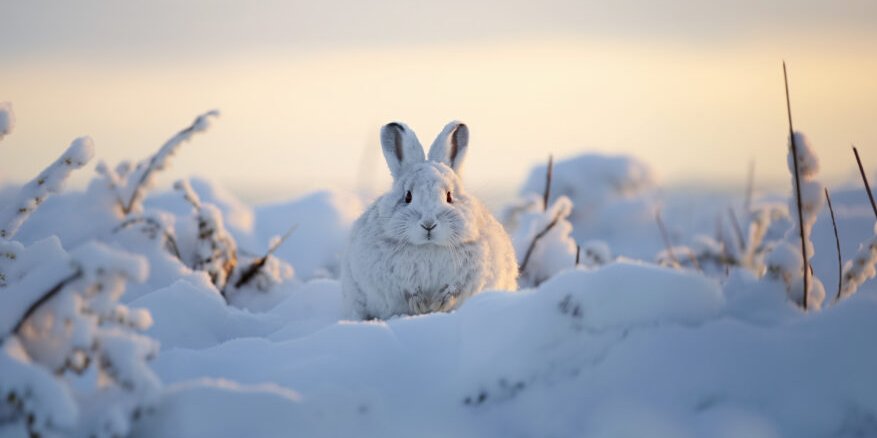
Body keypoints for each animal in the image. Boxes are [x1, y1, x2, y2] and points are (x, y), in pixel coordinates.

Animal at [341, 121, 518, 319]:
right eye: (408, 197)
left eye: (449, 196)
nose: (428, 224)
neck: (429, 246)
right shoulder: (393, 279)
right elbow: (408, 291)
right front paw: (420, 305)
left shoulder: (469, 276)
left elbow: (454, 290)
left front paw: (438, 304)